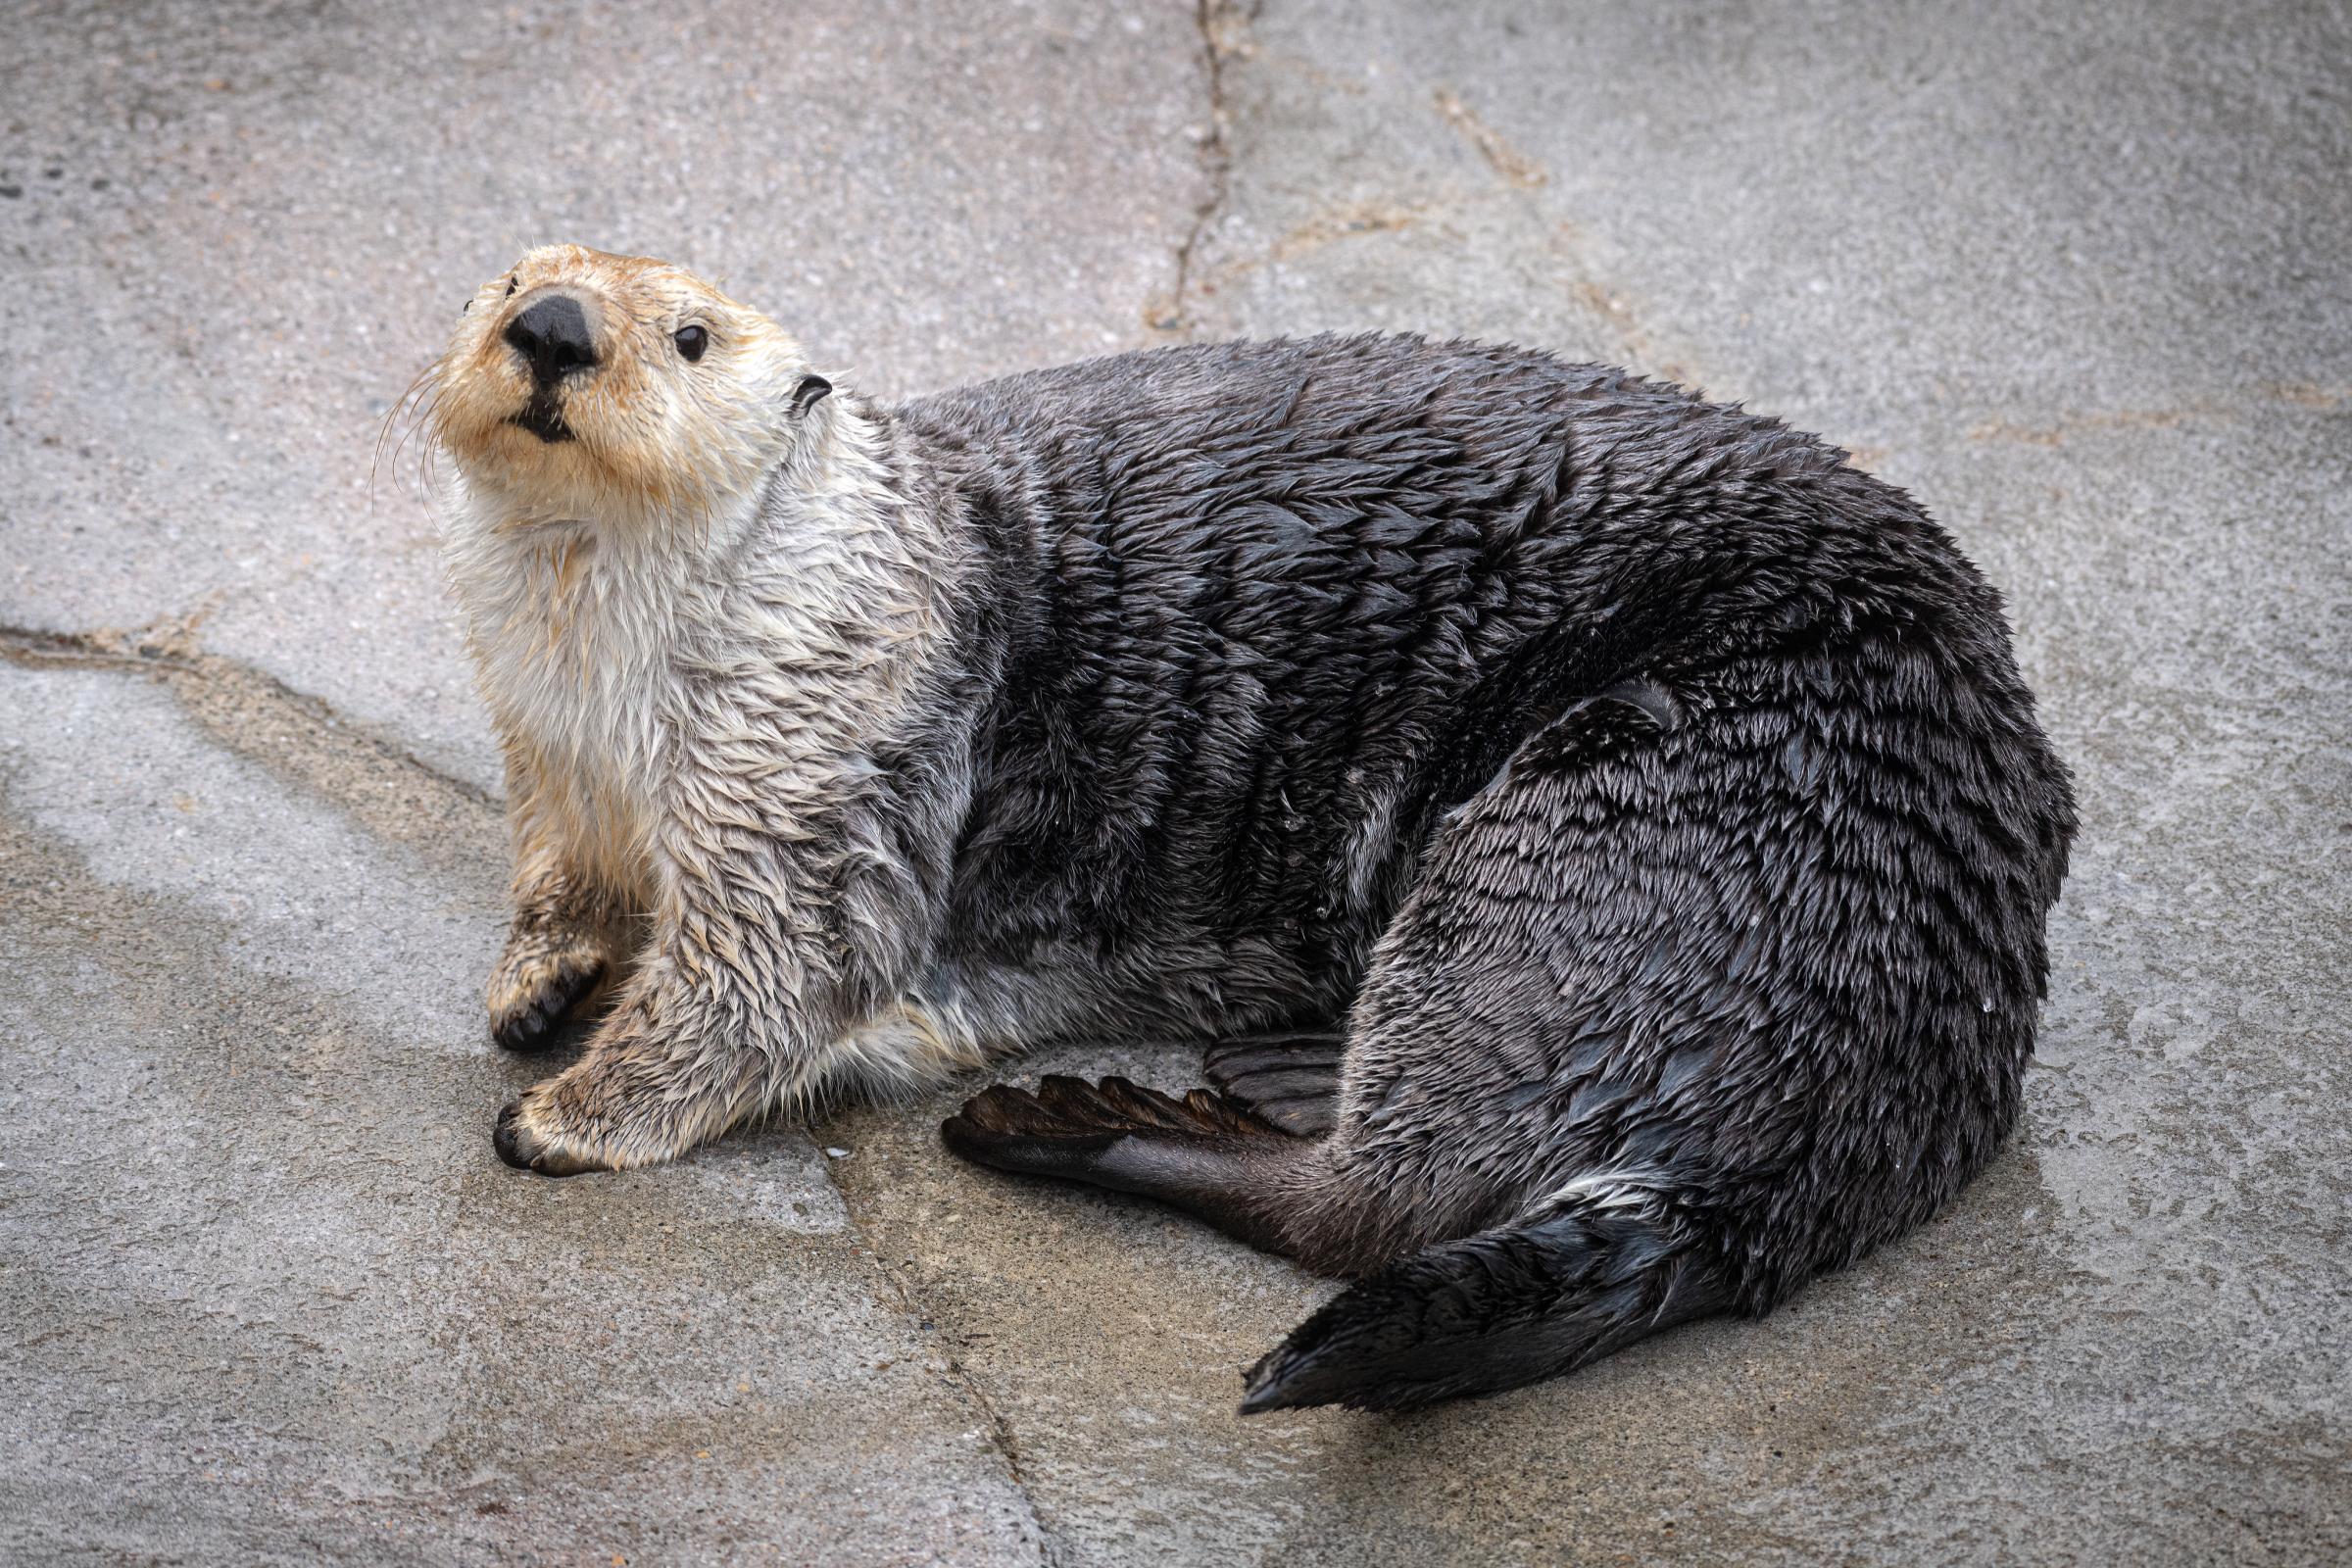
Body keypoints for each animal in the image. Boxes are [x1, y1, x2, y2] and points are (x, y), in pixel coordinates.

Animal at [422, 244, 2075, 1413]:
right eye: (504, 277)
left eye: (691, 335)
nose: (553, 325)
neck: (608, 692)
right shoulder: (550, 761)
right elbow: (566, 879)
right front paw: (544, 980)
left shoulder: (825, 771)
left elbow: (768, 977)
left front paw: (566, 1112)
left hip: (1618, 834)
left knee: (1377, 1206)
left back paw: (1089, 1122)